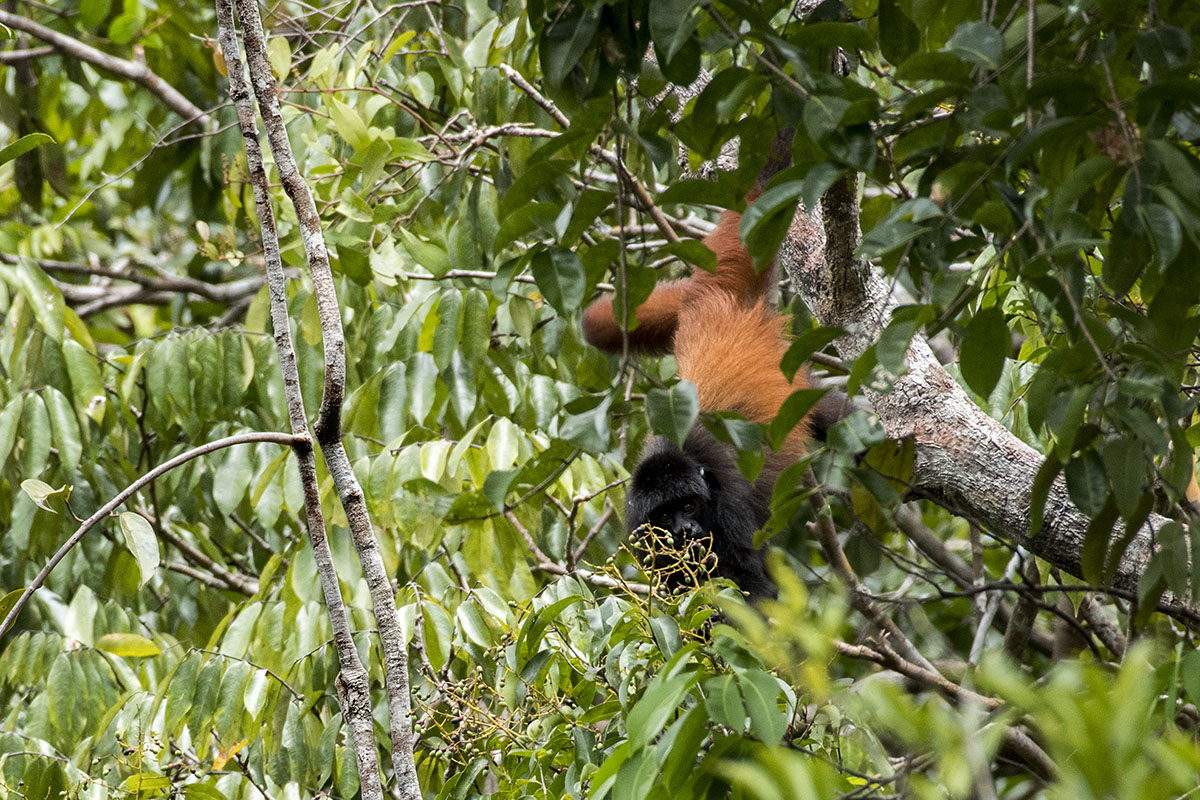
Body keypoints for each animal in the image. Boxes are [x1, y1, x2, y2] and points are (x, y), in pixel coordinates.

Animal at [578, 189, 806, 599]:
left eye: (688, 507)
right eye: (666, 516)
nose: (685, 531)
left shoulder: (727, 506)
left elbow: (754, 585)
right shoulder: (640, 532)